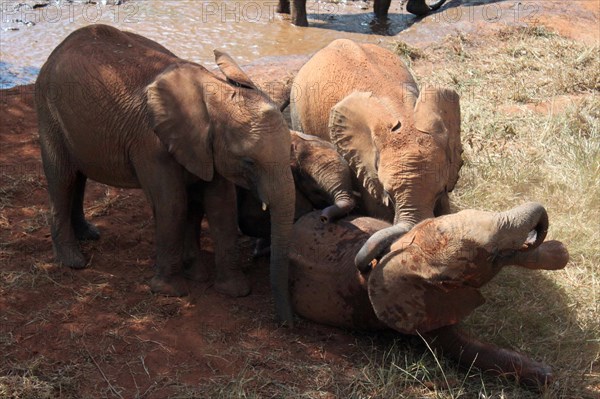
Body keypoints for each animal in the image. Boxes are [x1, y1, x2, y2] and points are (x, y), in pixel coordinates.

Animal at [35, 24, 296, 324]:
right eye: (249, 161)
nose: (286, 324)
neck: (215, 92)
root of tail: (56, 51)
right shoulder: (151, 144)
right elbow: (172, 204)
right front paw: (170, 291)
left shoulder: (208, 148)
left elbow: (220, 205)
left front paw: (230, 289)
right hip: (48, 110)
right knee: (62, 178)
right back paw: (72, 261)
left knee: (78, 177)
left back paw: (89, 235)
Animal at [292, 203, 568, 388]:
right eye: (490, 255)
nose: (534, 233)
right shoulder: (419, 311)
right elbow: (463, 347)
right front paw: (545, 375)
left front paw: (558, 252)